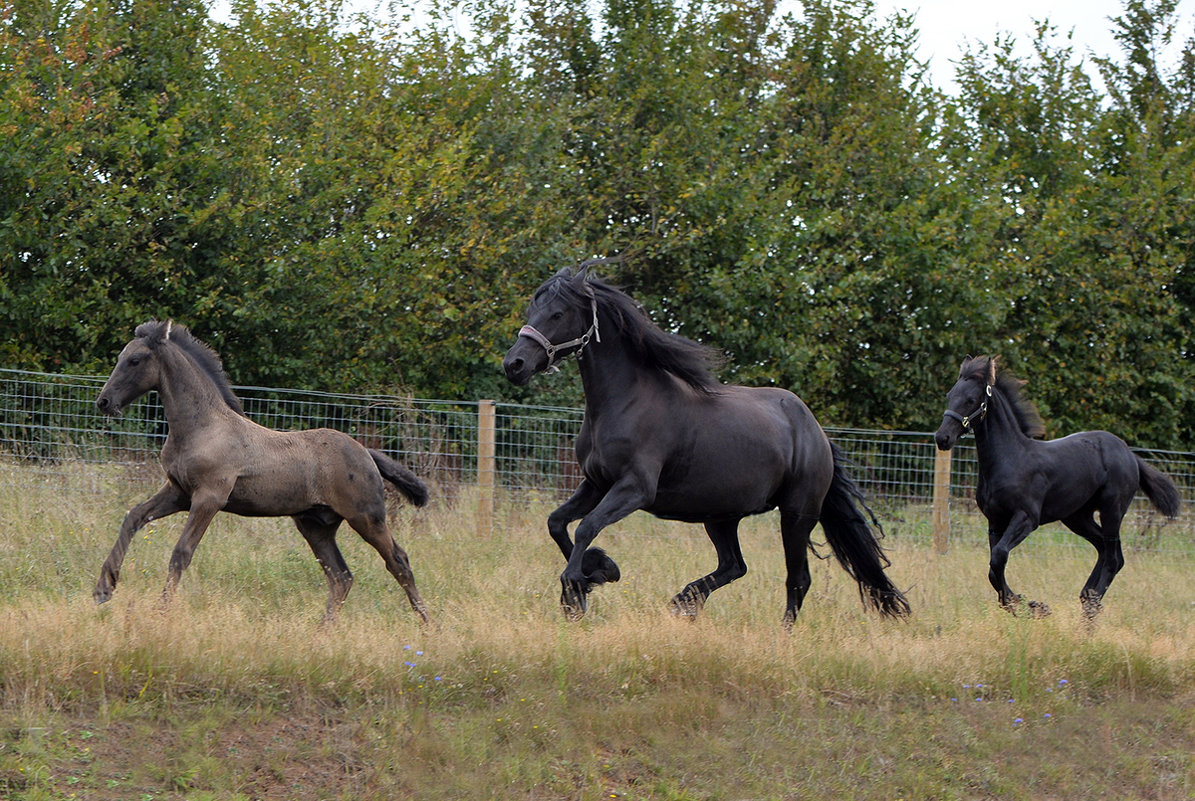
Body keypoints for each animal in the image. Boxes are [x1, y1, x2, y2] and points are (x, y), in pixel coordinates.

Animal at [501, 265, 903, 626]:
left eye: (557, 313)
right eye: (532, 311)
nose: (514, 364)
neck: (626, 401)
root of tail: (816, 432)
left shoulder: (634, 488)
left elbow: (586, 527)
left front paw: (576, 591)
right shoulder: (595, 483)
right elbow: (556, 522)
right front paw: (600, 570)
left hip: (796, 514)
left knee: (797, 579)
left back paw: (779, 633)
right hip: (721, 516)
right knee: (734, 565)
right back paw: (685, 600)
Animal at [932, 358, 1175, 621]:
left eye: (971, 399)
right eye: (949, 396)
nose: (942, 438)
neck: (1010, 459)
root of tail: (1130, 455)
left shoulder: (1026, 518)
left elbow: (998, 557)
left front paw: (1033, 607)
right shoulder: (995, 522)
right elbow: (995, 567)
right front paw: (1024, 605)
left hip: (1112, 510)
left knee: (1113, 558)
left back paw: (1091, 607)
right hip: (1077, 516)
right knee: (1106, 550)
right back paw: (1087, 596)